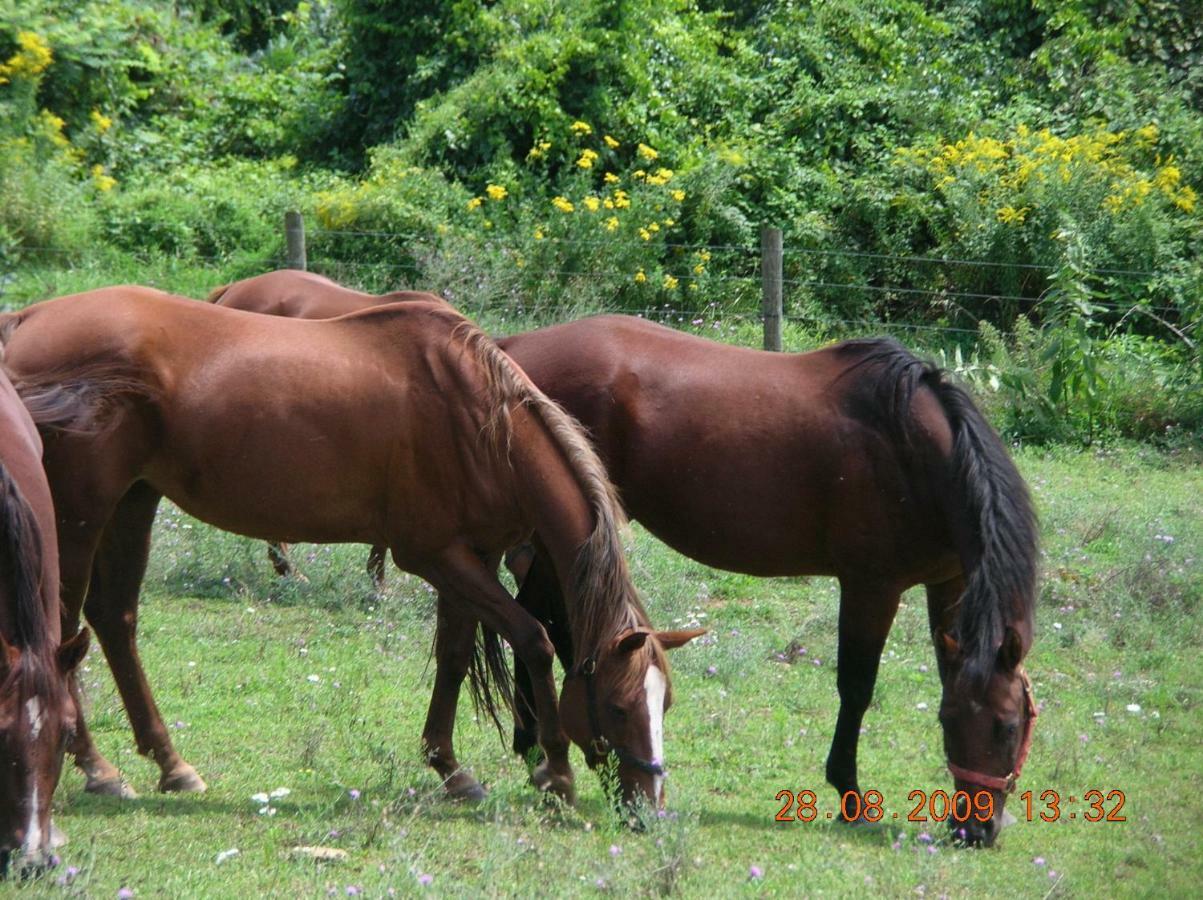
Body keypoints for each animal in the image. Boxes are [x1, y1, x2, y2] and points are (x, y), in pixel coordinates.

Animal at [0, 288, 702, 808]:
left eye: (665, 704)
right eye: (618, 707)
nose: (649, 807)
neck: (478, 419)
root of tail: (27, 320)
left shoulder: (466, 557)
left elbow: (453, 656)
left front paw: (451, 768)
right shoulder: (435, 557)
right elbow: (533, 639)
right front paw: (555, 771)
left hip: (133, 500)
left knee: (113, 620)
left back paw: (171, 765)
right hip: (81, 513)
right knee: (63, 631)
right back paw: (98, 767)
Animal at [493, 317, 1039, 851]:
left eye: (1007, 725)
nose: (975, 831)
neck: (910, 450)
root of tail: (510, 346)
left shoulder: (948, 581)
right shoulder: (871, 587)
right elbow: (856, 688)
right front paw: (850, 795)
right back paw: (534, 745)